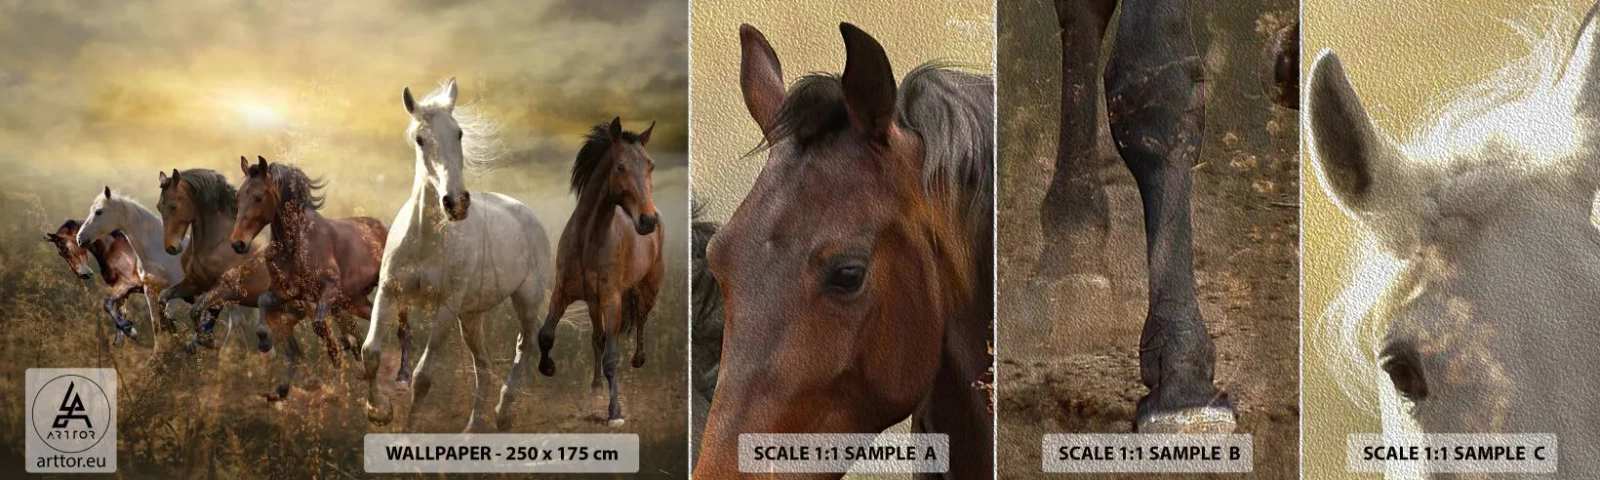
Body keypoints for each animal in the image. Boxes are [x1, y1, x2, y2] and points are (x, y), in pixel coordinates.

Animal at [76, 187, 187, 349]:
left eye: (99, 211)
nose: (80, 238)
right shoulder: (149, 290)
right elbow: (157, 325)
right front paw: (158, 353)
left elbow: (168, 321)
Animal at [154, 168, 266, 352]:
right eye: (158, 207)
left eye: (173, 206)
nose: (171, 247)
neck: (216, 243)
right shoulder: (195, 283)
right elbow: (163, 297)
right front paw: (169, 326)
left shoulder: (223, 289)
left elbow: (196, 310)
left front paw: (207, 340)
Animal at [230, 156, 386, 400]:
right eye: (238, 197)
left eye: (258, 197)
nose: (238, 243)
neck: (295, 245)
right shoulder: (285, 293)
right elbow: (264, 304)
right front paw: (268, 349)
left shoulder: (329, 291)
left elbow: (320, 326)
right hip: (354, 301)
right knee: (367, 321)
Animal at [359, 79, 552, 433]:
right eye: (420, 139)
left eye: (459, 133)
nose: (457, 203)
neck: (426, 239)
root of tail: (525, 212)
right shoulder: (389, 292)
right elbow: (371, 352)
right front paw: (379, 411)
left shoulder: (446, 307)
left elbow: (422, 377)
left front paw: (407, 436)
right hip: (471, 316)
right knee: (484, 366)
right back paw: (471, 431)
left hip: (526, 299)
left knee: (525, 345)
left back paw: (503, 413)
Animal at [533, 117, 665, 427]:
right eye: (620, 166)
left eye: (651, 165)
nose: (647, 220)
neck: (589, 240)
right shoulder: (564, 293)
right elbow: (546, 335)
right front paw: (548, 367)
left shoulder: (612, 300)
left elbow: (611, 357)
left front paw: (615, 412)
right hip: (594, 304)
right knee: (597, 338)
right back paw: (594, 388)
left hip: (648, 288)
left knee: (641, 318)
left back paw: (638, 359)